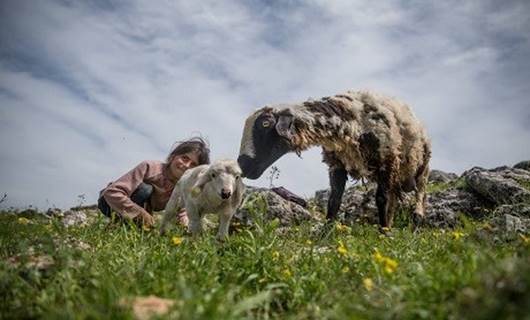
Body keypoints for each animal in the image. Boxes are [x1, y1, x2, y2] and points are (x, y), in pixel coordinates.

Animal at [237, 90, 432, 230]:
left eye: (265, 124)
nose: (243, 166)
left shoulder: (386, 159)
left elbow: (381, 199)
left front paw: (383, 234)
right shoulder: (338, 164)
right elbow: (334, 201)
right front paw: (325, 234)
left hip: (422, 167)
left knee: (420, 193)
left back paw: (416, 220)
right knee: (393, 199)